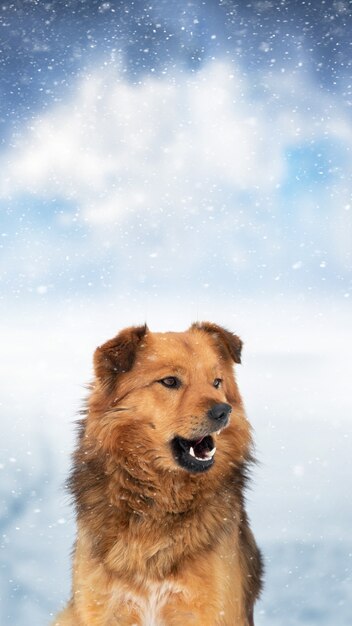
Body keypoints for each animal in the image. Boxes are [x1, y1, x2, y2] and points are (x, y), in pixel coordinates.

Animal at [52, 322, 262, 624]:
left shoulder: (213, 610)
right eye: (170, 382)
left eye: (217, 382)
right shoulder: (103, 608)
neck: (160, 500)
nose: (224, 411)